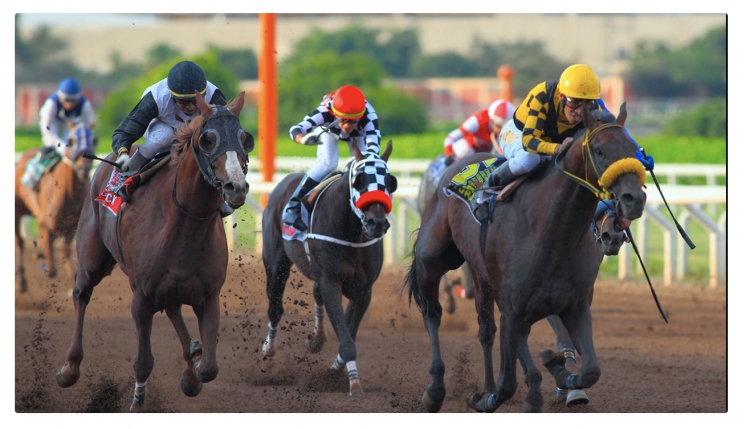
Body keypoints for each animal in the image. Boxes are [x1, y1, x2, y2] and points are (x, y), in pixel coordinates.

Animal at [14, 122, 97, 292]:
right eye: (71, 141)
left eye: (94, 140)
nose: (84, 169)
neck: (69, 193)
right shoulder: (45, 225)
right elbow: (52, 269)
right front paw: (41, 258)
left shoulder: (71, 228)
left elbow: (65, 254)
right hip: (17, 211)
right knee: (19, 242)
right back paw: (22, 282)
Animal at [56, 92, 256, 410]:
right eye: (208, 139)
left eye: (245, 138)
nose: (235, 187)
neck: (184, 224)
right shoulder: (142, 297)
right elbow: (143, 362)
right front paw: (138, 402)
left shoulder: (208, 294)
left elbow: (209, 368)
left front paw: (192, 372)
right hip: (92, 259)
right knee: (81, 294)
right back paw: (70, 368)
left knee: (173, 308)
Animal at [262, 140, 396, 394]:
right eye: (359, 181)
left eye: (390, 182)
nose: (377, 223)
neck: (352, 233)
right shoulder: (331, 282)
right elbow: (345, 336)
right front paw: (354, 383)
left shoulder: (363, 290)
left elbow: (348, 334)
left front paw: (334, 372)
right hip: (276, 263)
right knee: (275, 307)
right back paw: (268, 350)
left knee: (315, 293)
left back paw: (316, 339)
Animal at [406, 101, 648, 412]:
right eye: (599, 150)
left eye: (634, 149)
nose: (633, 200)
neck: (551, 231)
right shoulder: (514, 304)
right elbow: (509, 381)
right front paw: (495, 396)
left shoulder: (574, 302)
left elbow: (590, 370)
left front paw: (561, 375)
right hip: (432, 259)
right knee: (432, 313)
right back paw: (437, 389)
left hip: (482, 275)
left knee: (487, 330)